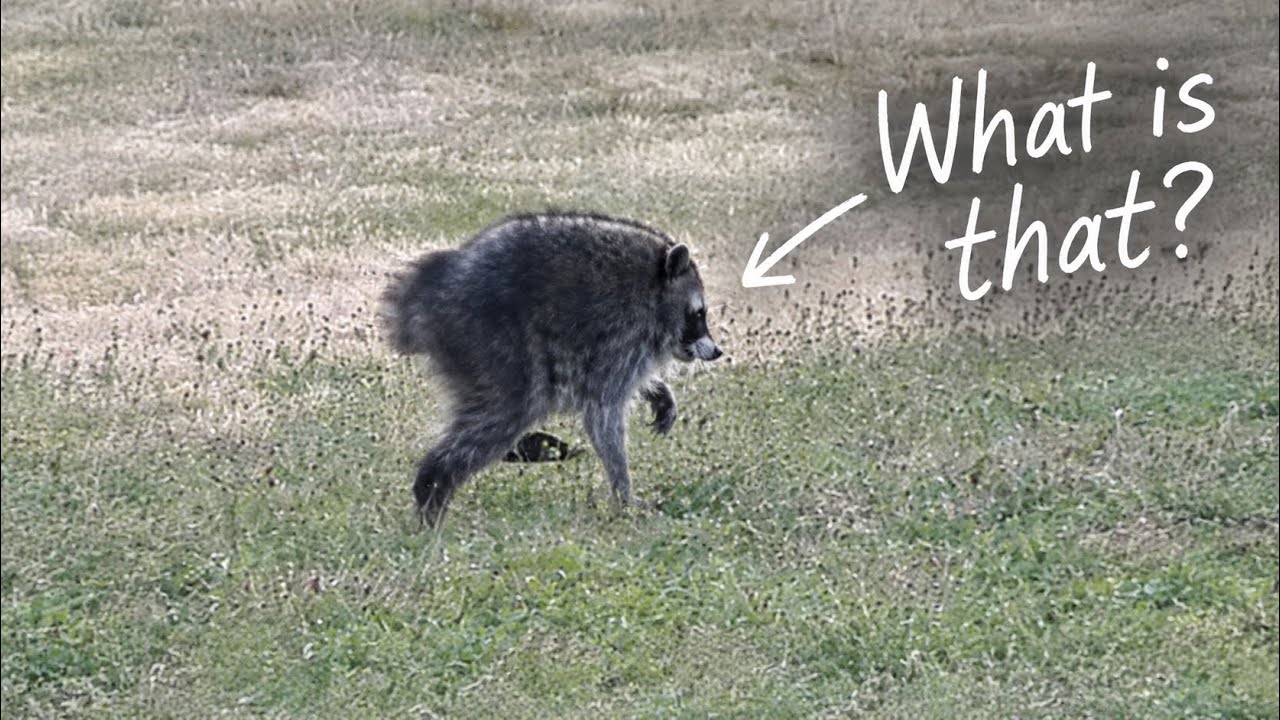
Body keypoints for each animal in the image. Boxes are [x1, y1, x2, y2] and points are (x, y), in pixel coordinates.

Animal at [381, 212, 722, 525]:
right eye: (699, 314)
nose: (717, 351)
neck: (655, 287)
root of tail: (428, 292)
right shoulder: (620, 338)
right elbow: (602, 414)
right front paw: (623, 492)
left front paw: (658, 391)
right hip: (489, 339)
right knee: (505, 413)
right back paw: (433, 484)